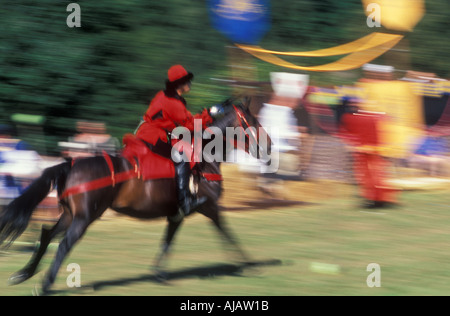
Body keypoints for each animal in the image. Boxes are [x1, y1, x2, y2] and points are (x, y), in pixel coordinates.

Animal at [0, 97, 270, 294]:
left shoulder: (176, 214)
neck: (204, 157)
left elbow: (167, 241)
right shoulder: (209, 207)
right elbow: (227, 233)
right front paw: (248, 263)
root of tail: (71, 163)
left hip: (69, 215)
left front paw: (159, 273)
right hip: (83, 218)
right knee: (65, 244)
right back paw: (45, 284)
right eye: (252, 121)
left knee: (46, 235)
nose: (269, 146)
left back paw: (24, 274)